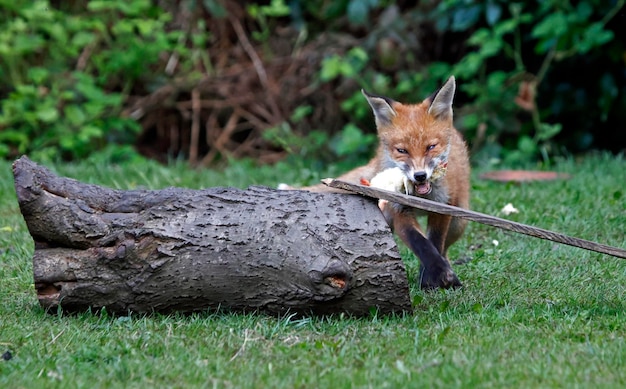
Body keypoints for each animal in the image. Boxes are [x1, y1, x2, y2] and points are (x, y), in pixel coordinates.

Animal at [280, 76, 466, 288]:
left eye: (431, 147)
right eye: (402, 151)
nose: (420, 176)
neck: (421, 198)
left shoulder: (443, 206)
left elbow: (434, 242)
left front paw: (433, 279)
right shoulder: (399, 209)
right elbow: (421, 244)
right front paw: (435, 274)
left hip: (458, 223)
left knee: (445, 247)